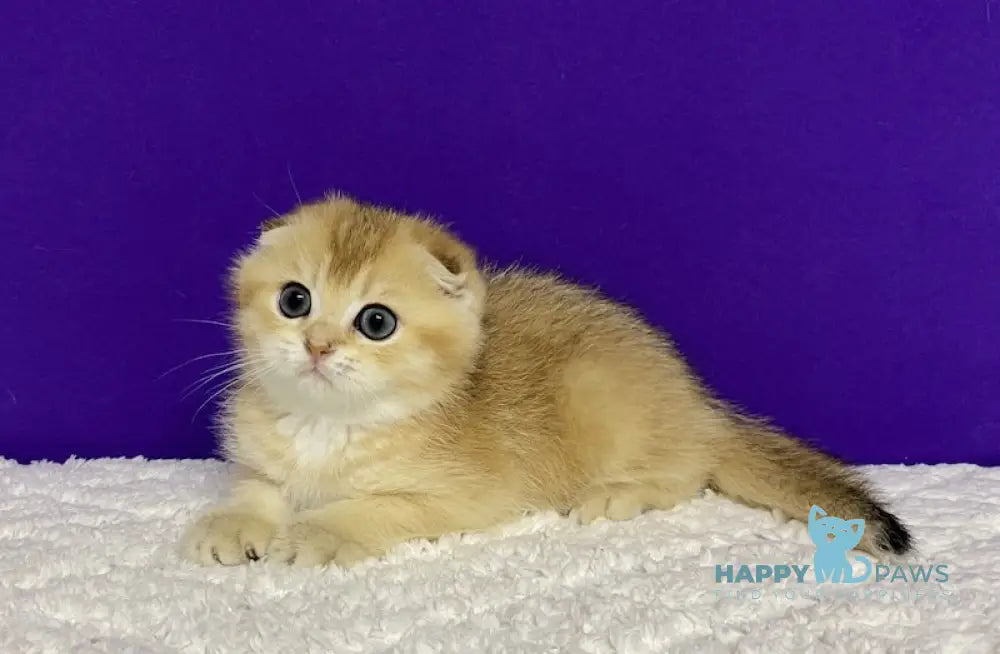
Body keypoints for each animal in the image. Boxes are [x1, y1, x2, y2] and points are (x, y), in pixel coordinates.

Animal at [180, 193, 916, 568]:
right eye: (295, 300)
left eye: (377, 321)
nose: (317, 345)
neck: (328, 427)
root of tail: (697, 401)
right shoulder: (262, 461)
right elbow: (256, 487)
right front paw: (235, 523)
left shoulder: (468, 495)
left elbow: (379, 507)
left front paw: (320, 533)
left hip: (602, 400)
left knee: (687, 471)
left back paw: (618, 494)